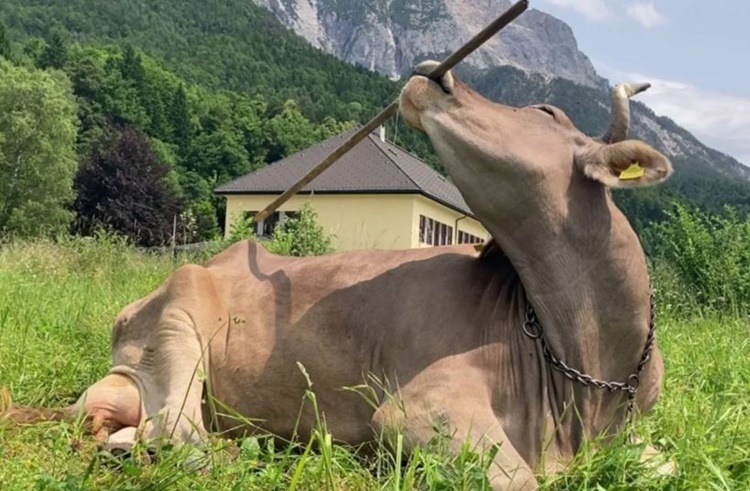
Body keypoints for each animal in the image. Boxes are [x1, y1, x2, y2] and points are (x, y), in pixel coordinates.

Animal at [2, 61, 673, 490]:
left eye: (543, 109)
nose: (436, 71)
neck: (587, 371)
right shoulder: (418, 409)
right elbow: (519, 479)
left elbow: (663, 463)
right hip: (176, 327)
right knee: (180, 437)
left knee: (142, 431)